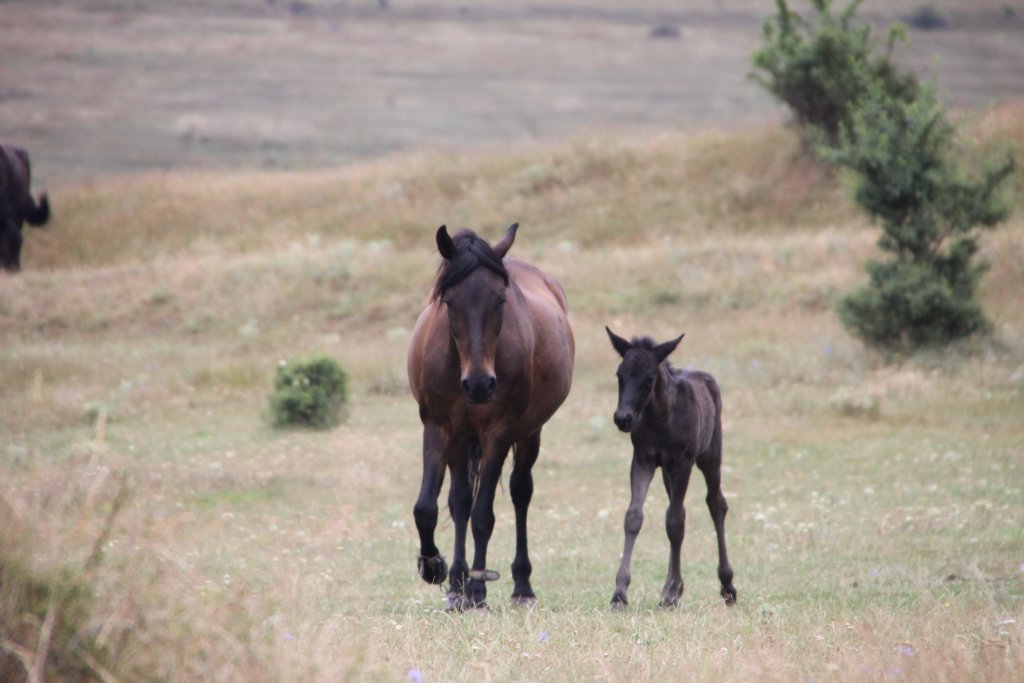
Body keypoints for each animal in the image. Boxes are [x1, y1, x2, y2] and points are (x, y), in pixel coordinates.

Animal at [407, 224, 575, 610]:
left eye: (500, 300)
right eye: (449, 301)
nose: (480, 385)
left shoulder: (499, 432)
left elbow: (483, 515)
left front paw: (478, 590)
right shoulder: (439, 428)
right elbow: (430, 507)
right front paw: (437, 570)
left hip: (529, 433)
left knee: (520, 493)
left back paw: (521, 586)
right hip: (463, 440)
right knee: (460, 502)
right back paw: (456, 583)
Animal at [605, 327, 737, 609]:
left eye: (649, 379)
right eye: (619, 375)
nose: (623, 418)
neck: (661, 419)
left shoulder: (682, 461)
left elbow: (675, 522)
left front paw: (670, 593)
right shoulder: (643, 459)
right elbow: (634, 516)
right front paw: (620, 592)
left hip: (710, 454)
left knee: (716, 503)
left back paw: (728, 585)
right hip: (667, 471)